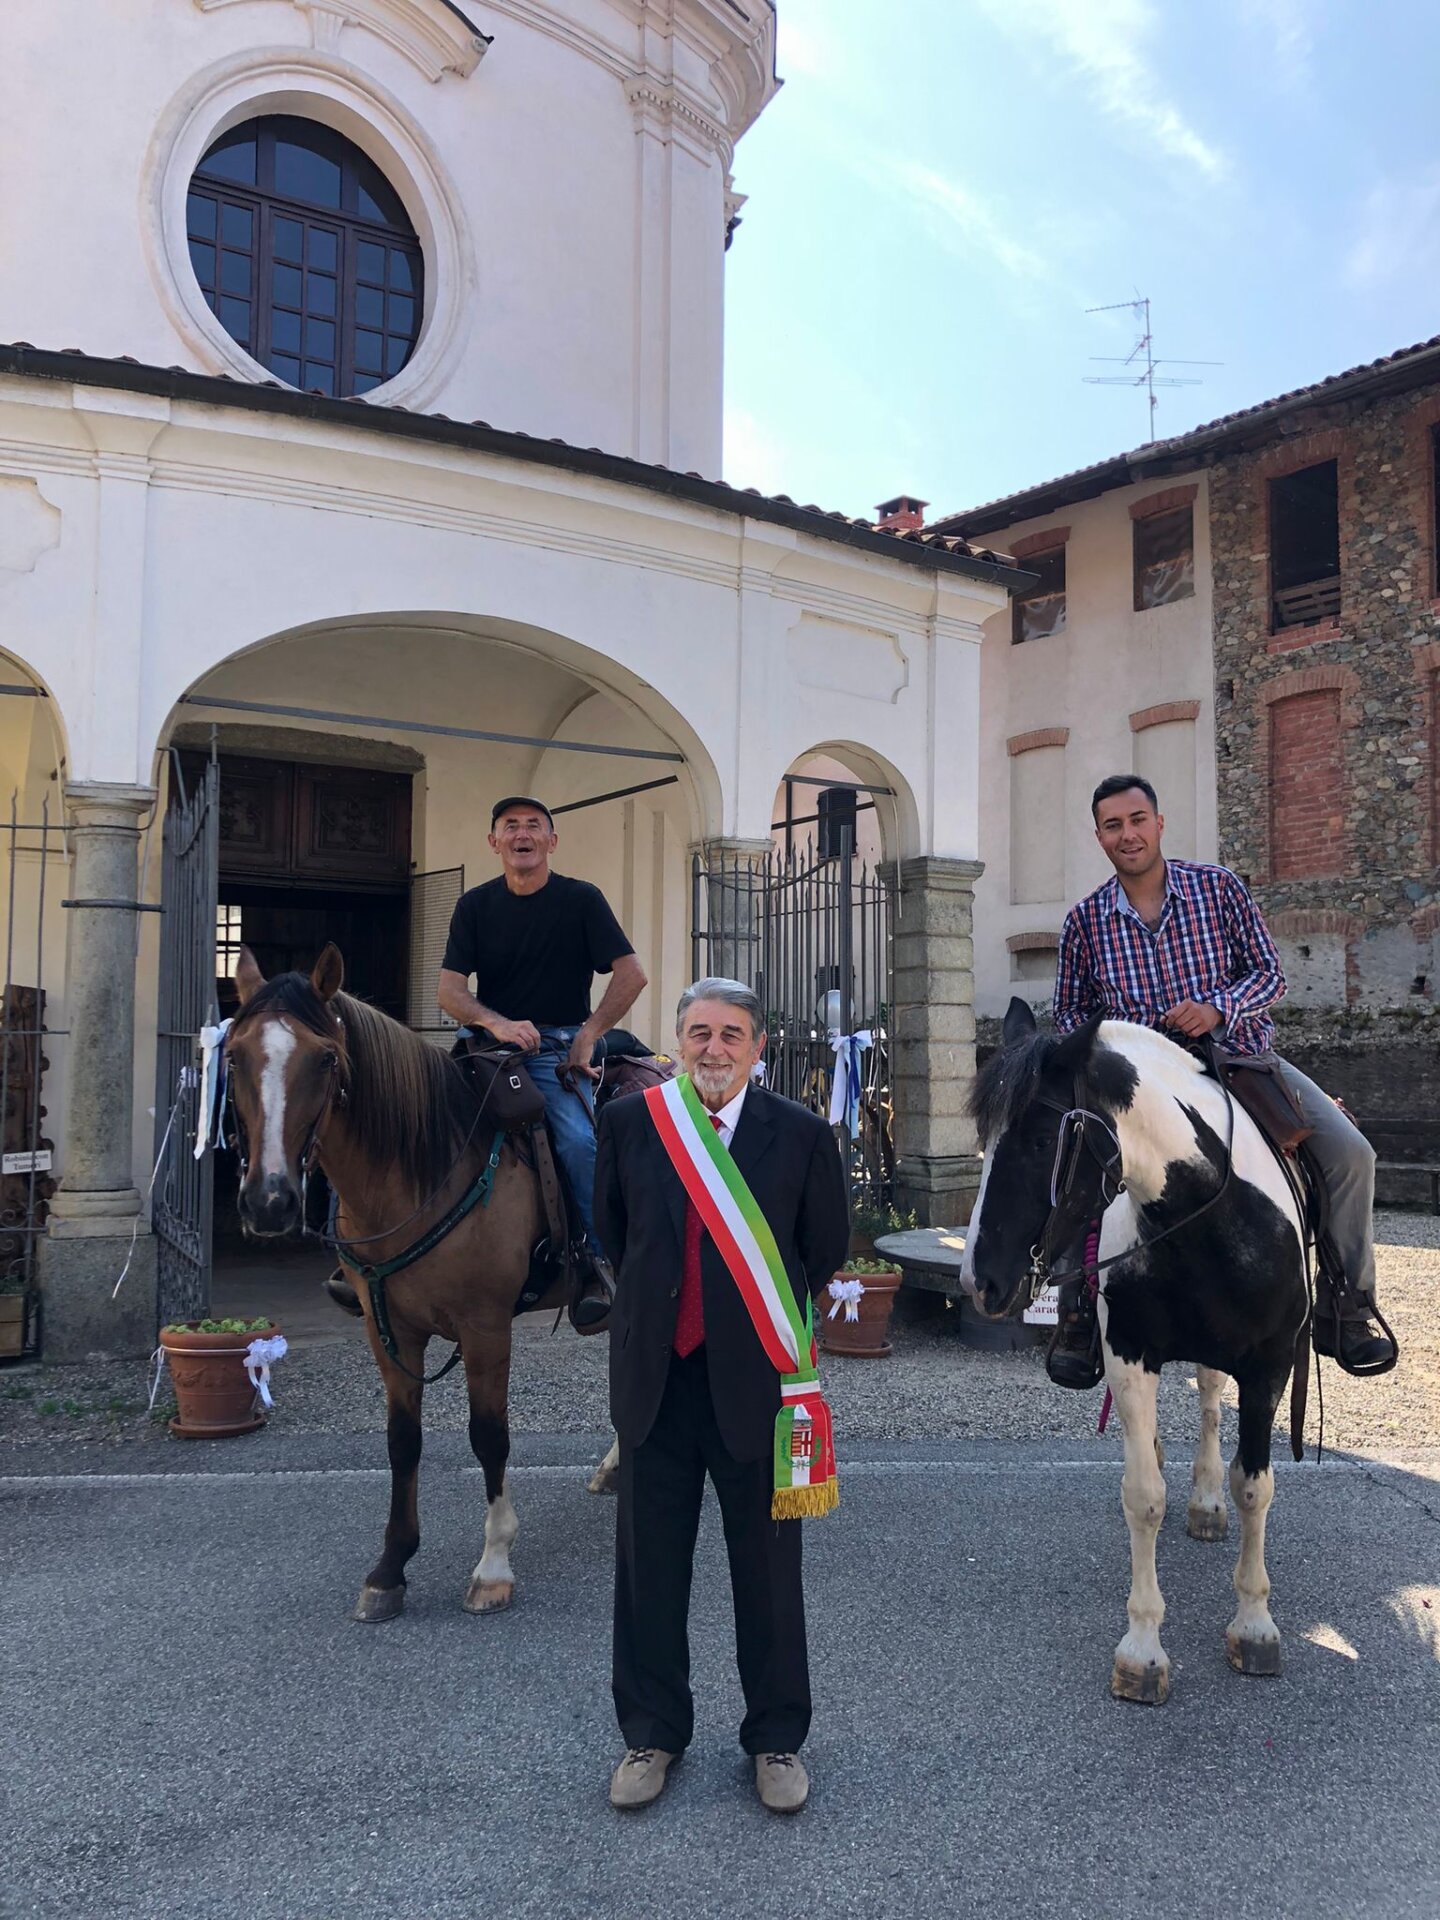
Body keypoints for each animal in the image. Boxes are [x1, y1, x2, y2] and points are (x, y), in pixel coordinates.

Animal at [226, 940, 556, 1620]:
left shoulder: (486, 1328)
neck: (423, 1167)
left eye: (326, 1058)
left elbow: (489, 1436)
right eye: (234, 1055)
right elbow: (402, 1441)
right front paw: (390, 1567)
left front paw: (493, 1564)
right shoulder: (389, 1331)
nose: (269, 1201)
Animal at [963, 998, 1313, 1704]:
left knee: (1209, 1400)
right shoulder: (1130, 1359)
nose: (978, 1282)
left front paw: (1255, 1624)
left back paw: (1207, 1502)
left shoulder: (1269, 1366)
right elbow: (1143, 1495)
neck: (1206, 1217)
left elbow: (1254, 1487)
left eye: (1040, 1140)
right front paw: (1144, 1649)